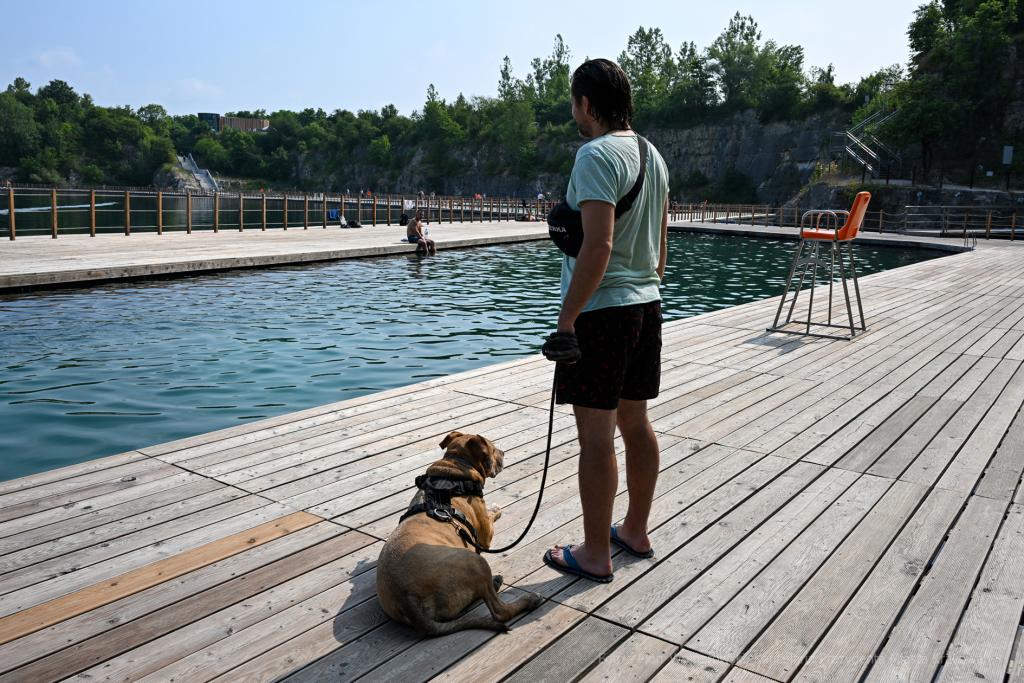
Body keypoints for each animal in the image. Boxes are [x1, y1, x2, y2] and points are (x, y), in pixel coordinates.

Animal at [376, 432, 544, 634]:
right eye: (493, 448)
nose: (503, 452)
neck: (456, 464)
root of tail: (408, 598)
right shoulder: (485, 534)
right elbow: (491, 516)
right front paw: (495, 510)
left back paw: (495, 583)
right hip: (476, 561)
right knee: (499, 611)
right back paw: (528, 599)